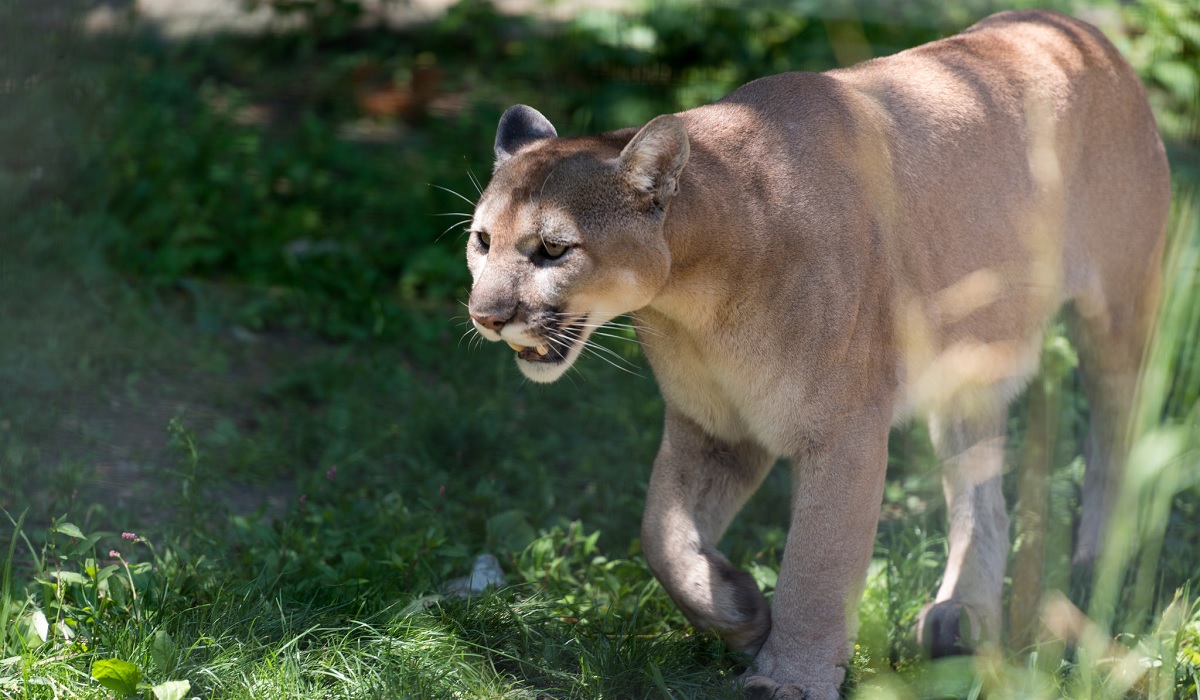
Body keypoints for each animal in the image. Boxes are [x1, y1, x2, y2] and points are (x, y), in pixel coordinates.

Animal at [463, 8, 1166, 696]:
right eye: (482, 240)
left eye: (554, 249)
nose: (486, 316)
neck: (693, 294)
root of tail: (1077, 28)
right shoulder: (714, 426)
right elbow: (660, 533)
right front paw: (739, 610)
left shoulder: (842, 431)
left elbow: (817, 563)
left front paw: (789, 678)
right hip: (966, 363)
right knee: (983, 493)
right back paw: (963, 622)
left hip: (1117, 314)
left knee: (1118, 437)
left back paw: (1095, 572)